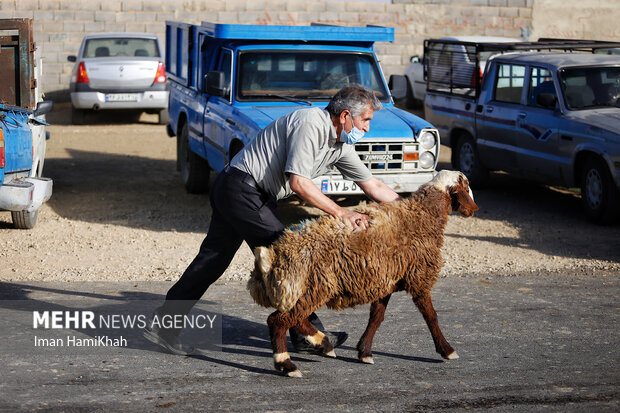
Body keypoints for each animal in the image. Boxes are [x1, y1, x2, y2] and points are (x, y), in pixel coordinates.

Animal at [247, 169, 480, 374]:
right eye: (467, 185)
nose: (474, 209)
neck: (423, 213)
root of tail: (273, 257)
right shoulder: (419, 276)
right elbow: (431, 316)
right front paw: (447, 350)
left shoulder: (385, 280)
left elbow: (376, 317)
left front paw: (364, 352)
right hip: (313, 287)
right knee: (278, 321)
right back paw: (287, 364)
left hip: (308, 290)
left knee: (295, 319)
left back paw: (324, 344)